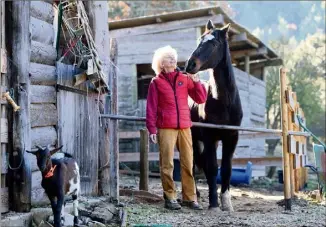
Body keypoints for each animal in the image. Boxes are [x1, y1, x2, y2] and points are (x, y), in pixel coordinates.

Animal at [186, 20, 242, 211]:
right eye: (200, 40)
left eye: (214, 44)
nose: (190, 65)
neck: (223, 102)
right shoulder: (209, 136)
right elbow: (211, 167)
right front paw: (214, 203)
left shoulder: (231, 137)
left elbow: (226, 168)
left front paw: (226, 203)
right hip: (193, 138)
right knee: (191, 164)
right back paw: (194, 194)